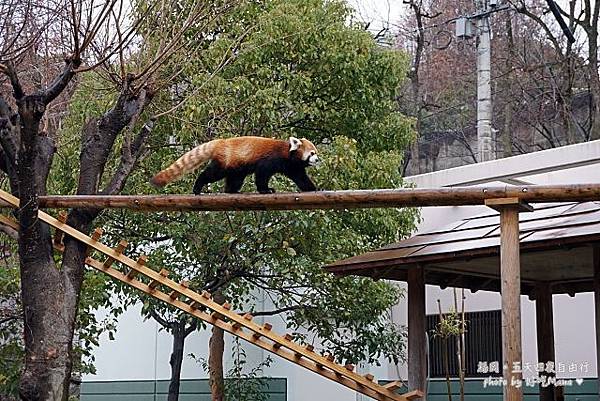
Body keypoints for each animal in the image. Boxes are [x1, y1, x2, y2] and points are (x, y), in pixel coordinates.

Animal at [150, 136, 318, 194]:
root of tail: (220, 141)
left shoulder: (293, 166)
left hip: (236, 166)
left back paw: (232, 190)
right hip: (224, 162)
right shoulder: (271, 159)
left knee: (235, 178)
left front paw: (312, 188)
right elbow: (262, 174)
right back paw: (197, 188)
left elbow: (300, 177)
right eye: (312, 153)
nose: (318, 160)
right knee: (211, 174)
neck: (288, 154)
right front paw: (266, 190)